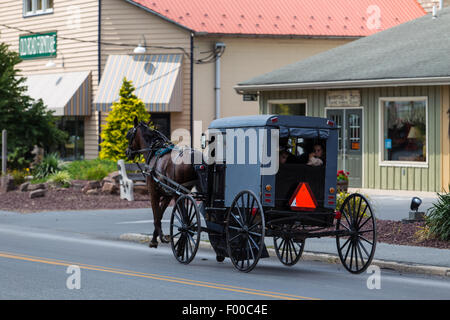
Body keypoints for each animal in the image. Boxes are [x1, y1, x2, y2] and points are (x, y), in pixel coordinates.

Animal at [125, 116, 199, 249]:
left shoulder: (153, 193)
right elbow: (160, 214)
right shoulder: (167, 195)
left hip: (178, 193)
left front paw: (160, 238)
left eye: (129, 135)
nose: (127, 152)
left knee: (185, 218)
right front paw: (155, 238)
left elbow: (156, 216)